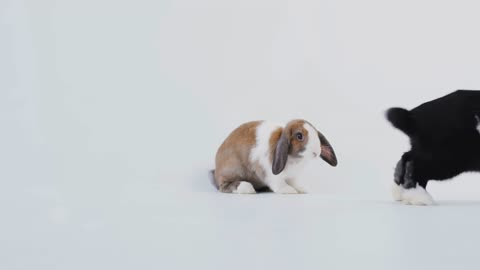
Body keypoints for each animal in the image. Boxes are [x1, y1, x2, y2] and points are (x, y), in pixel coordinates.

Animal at [210, 120, 338, 194]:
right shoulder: (270, 173)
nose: (317, 151)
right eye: (299, 136)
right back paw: (247, 188)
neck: (294, 159)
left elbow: (294, 182)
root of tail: (216, 170)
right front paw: (288, 190)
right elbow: (278, 183)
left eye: (316, 134)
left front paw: (301, 189)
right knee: (224, 186)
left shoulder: (293, 176)